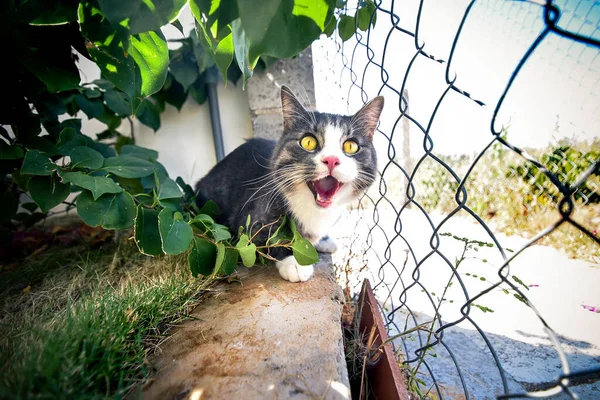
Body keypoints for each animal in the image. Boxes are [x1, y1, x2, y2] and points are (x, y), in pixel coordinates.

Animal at [197, 86, 384, 282]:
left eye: (351, 146)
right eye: (308, 142)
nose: (331, 159)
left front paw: (323, 240)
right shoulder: (250, 216)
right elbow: (269, 236)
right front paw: (294, 261)